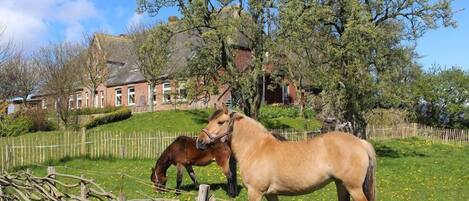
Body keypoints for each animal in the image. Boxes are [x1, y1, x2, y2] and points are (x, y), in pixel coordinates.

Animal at [196, 107, 374, 201]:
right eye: (209, 121)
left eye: (220, 122)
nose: (199, 141)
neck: (255, 148)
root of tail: (360, 142)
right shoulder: (270, 194)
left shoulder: (255, 192)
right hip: (341, 185)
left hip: (354, 188)